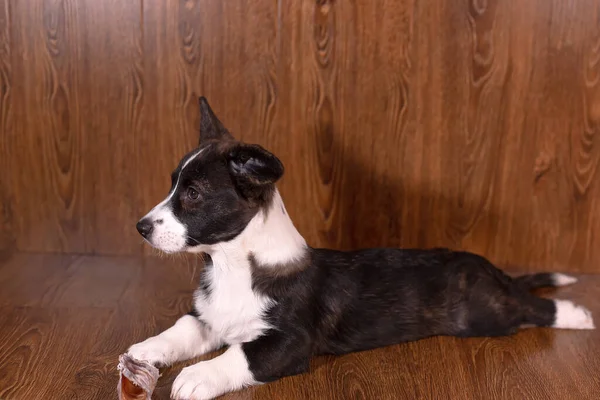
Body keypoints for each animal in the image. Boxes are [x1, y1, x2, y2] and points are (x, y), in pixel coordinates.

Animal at [127, 97, 596, 400]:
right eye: (174, 185)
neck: (232, 266)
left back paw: (577, 314)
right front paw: (145, 352)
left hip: (483, 315)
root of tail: (492, 270)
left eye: (193, 194)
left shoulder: (287, 343)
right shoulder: (208, 318)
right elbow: (180, 330)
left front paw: (196, 376)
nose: (141, 228)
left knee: (532, 308)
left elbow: (239, 354)